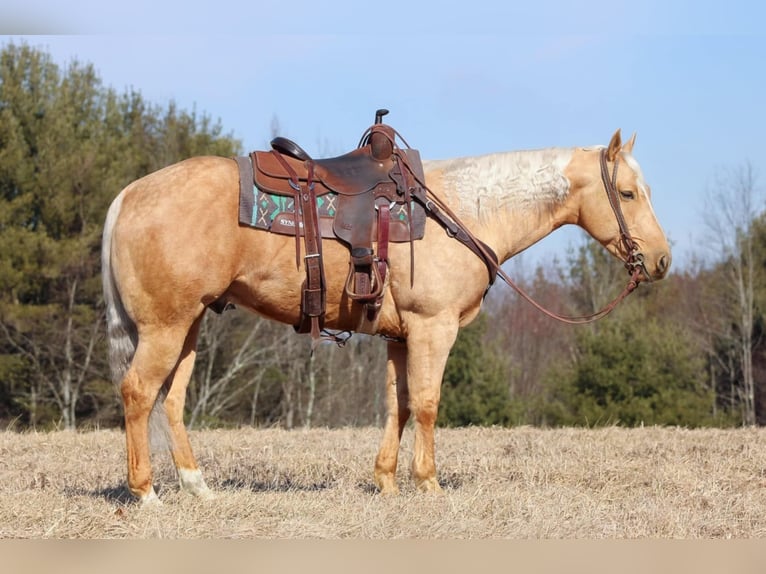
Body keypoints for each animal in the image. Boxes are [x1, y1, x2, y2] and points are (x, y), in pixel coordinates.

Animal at [100, 127, 672, 504]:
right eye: (627, 193)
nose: (662, 260)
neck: (462, 211)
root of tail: (128, 194)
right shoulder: (433, 328)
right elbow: (426, 404)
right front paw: (429, 483)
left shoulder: (401, 337)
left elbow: (397, 404)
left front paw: (388, 481)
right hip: (165, 328)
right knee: (138, 393)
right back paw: (146, 493)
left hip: (190, 325)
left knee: (171, 400)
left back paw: (197, 487)